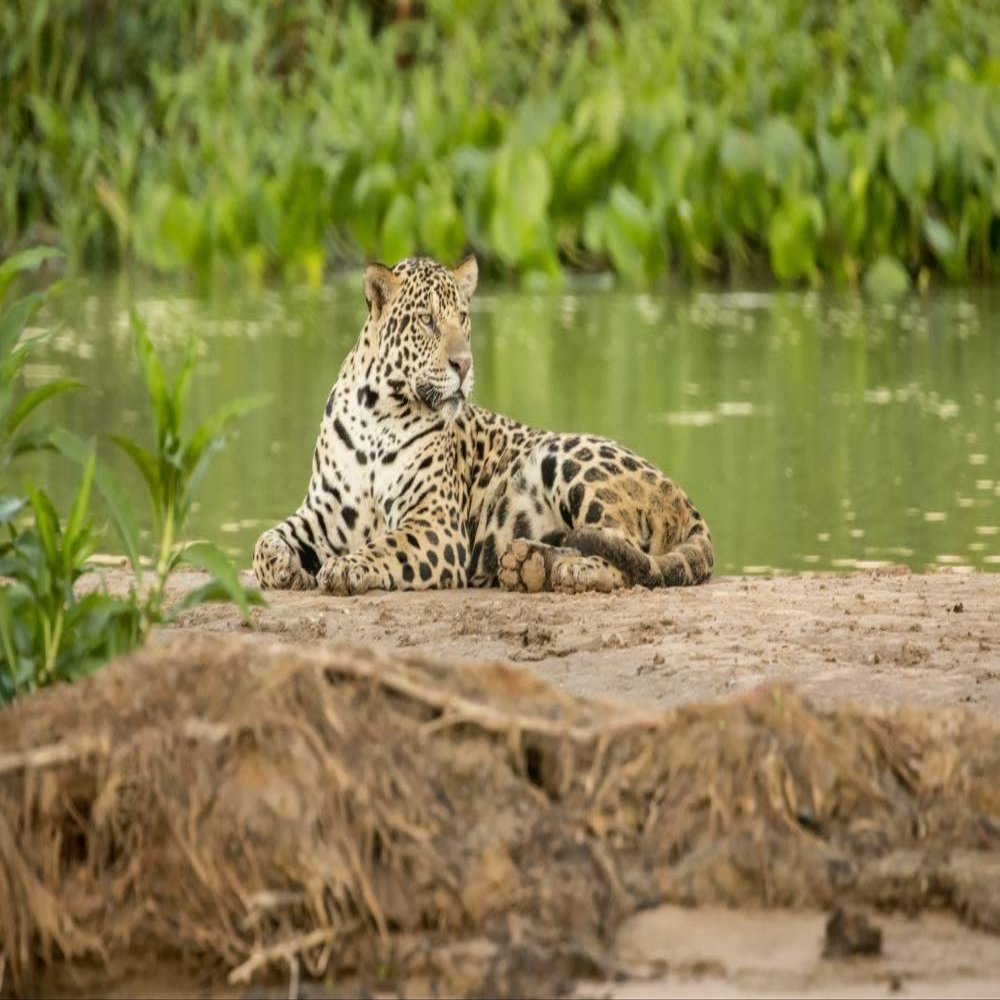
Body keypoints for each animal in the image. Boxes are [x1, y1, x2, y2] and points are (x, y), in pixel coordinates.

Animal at [253, 255, 713, 596]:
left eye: (462, 317)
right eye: (427, 320)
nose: (464, 364)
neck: (379, 412)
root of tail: (685, 500)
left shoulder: (435, 524)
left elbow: (386, 544)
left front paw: (347, 566)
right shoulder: (323, 512)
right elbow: (265, 540)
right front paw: (286, 569)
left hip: (563, 456)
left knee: (625, 551)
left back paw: (572, 572)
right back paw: (527, 565)